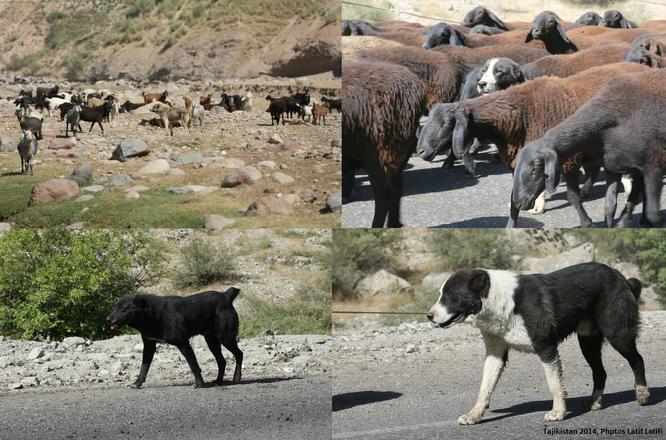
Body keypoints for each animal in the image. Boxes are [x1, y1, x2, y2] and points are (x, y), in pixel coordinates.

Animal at [107, 288, 243, 388]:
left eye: (123, 308)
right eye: (114, 307)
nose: (108, 319)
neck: (153, 314)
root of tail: (226, 296)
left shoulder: (183, 343)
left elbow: (193, 365)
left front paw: (199, 383)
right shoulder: (149, 346)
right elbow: (144, 367)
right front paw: (137, 383)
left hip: (225, 338)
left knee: (239, 354)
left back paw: (236, 378)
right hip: (212, 341)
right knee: (222, 361)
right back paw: (218, 381)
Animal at [426, 262, 648, 424]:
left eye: (450, 295)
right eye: (441, 295)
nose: (429, 316)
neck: (500, 300)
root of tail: (620, 276)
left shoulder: (546, 348)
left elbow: (554, 385)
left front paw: (558, 412)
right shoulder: (495, 355)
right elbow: (484, 388)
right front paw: (474, 414)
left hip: (617, 333)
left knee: (637, 360)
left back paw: (642, 394)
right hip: (587, 341)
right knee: (600, 372)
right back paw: (594, 403)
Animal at [452, 62, 648, 227]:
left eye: (499, 71)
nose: (460, 155)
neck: (521, 116)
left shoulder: (567, 161)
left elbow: (572, 197)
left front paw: (586, 223)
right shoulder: (519, 164)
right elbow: (515, 199)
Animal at [510, 69, 664, 227]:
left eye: (536, 167)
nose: (518, 203)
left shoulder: (653, 167)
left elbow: (653, 213)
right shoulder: (613, 169)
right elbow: (610, 207)